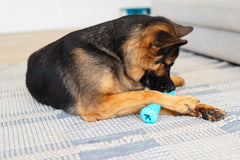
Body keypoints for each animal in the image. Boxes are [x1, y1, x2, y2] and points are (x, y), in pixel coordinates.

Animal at [26, 15, 227, 122]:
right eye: (166, 64)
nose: (171, 88)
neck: (116, 56)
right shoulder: (97, 103)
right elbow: (145, 95)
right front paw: (182, 102)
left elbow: (143, 97)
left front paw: (202, 108)